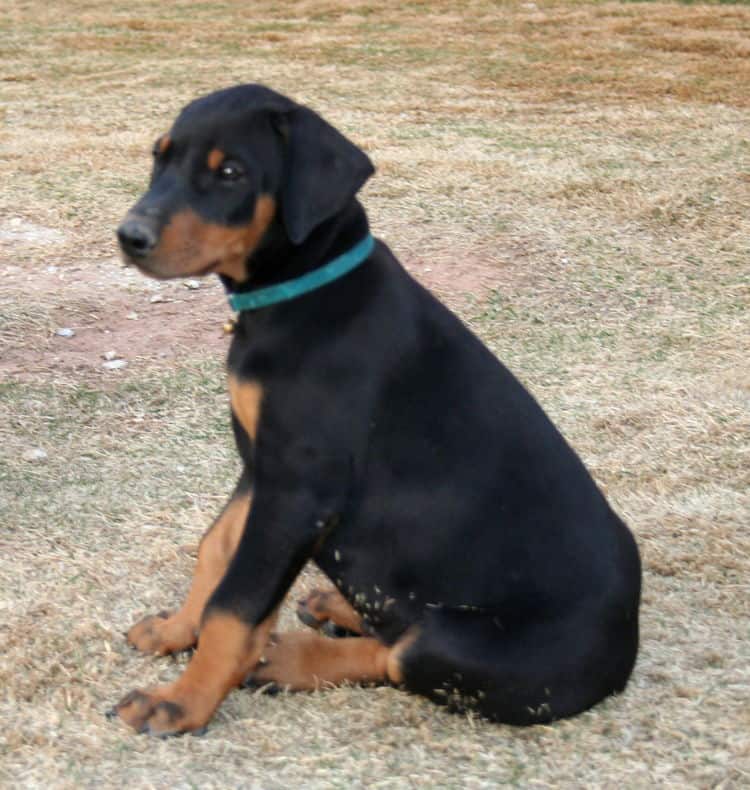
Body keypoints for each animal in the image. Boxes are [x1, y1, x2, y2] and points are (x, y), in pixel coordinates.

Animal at [114, 85, 644, 736]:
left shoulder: (300, 488)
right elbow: (216, 547)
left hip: (473, 644)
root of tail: (627, 646)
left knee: (400, 654)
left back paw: (290, 654)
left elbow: (235, 606)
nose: (129, 236)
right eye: (158, 157)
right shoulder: (264, 467)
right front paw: (175, 631)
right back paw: (334, 605)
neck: (303, 294)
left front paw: (182, 700)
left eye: (231, 172)